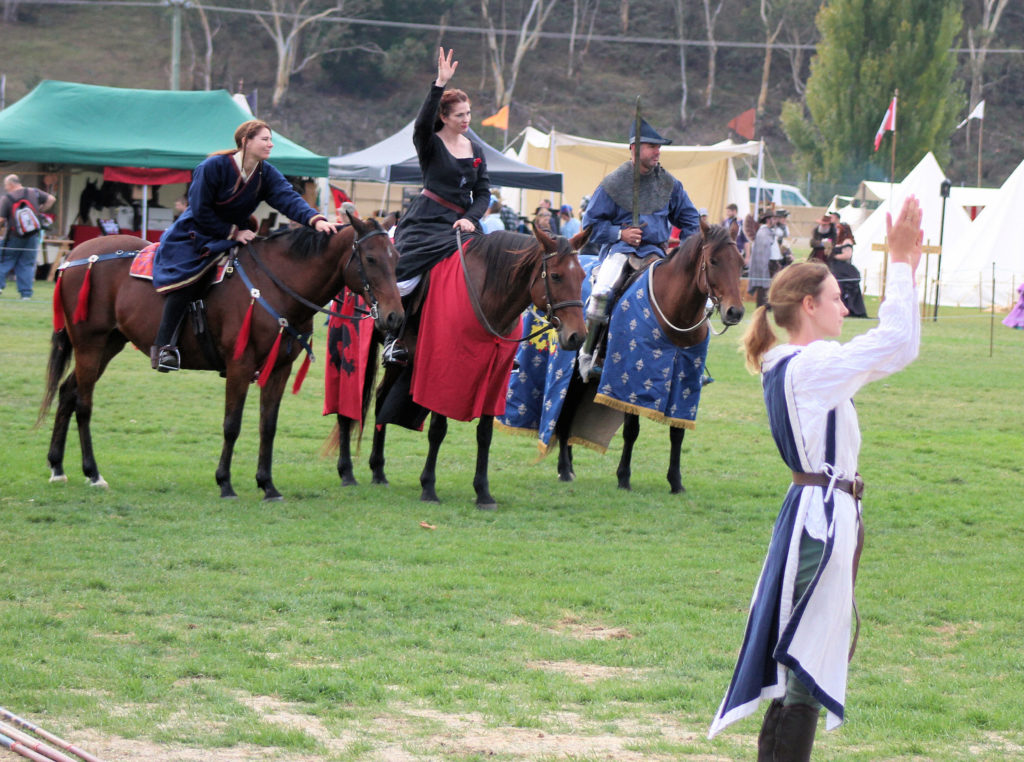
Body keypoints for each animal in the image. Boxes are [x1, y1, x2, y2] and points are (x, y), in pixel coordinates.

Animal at [43, 216, 403, 499]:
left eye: (396, 256)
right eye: (371, 258)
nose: (395, 317)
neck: (277, 286)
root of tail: (74, 256)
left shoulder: (279, 368)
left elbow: (268, 425)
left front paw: (267, 485)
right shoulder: (239, 365)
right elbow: (232, 424)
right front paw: (225, 483)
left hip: (108, 344)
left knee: (67, 393)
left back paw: (57, 466)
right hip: (90, 344)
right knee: (83, 403)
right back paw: (93, 473)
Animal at [333, 226, 589, 512]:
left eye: (582, 276)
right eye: (555, 276)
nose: (577, 336)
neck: (486, 296)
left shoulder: (495, 379)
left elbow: (485, 434)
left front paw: (483, 493)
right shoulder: (442, 372)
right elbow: (437, 430)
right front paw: (428, 487)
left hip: (400, 365)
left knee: (380, 400)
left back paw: (378, 470)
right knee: (347, 409)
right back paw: (347, 472)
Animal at [557, 220, 741, 493]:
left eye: (740, 262)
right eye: (714, 261)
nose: (735, 312)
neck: (675, 312)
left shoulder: (684, 381)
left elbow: (677, 432)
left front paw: (676, 481)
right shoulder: (632, 378)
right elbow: (632, 430)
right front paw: (623, 477)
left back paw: (568, 466)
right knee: (566, 410)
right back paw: (564, 468)